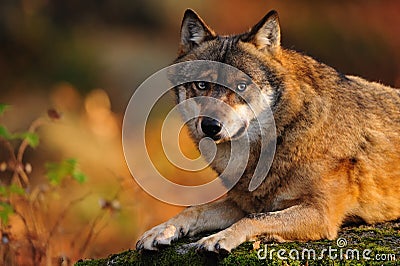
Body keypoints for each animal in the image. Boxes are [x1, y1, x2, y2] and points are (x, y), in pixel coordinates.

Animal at [136, 8, 398, 254]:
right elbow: (195, 208)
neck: (286, 132)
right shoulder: (244, 202)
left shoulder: (320, 213)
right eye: (202, 85)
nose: (210, 126)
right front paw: (161, 230)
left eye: (241, 86)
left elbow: (254, 219)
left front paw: (218, 238)